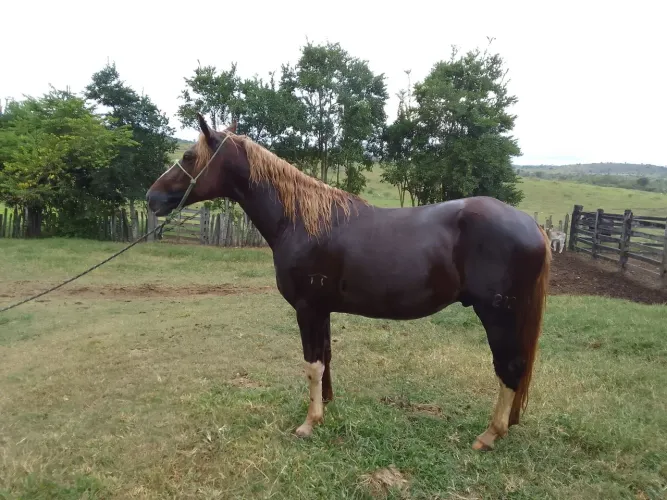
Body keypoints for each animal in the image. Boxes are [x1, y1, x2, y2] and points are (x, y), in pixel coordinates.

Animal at [146, 114, 552, 451]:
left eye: (188, 155)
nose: (152, 197)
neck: (301, 220)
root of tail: (532, 225)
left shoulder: (307, 309)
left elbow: (312, 363)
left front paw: (310, 423)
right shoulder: (322, 309)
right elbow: (325, 358)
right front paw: (325, 406)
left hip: (499, 316)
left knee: (510, 368)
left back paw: (489, 435)